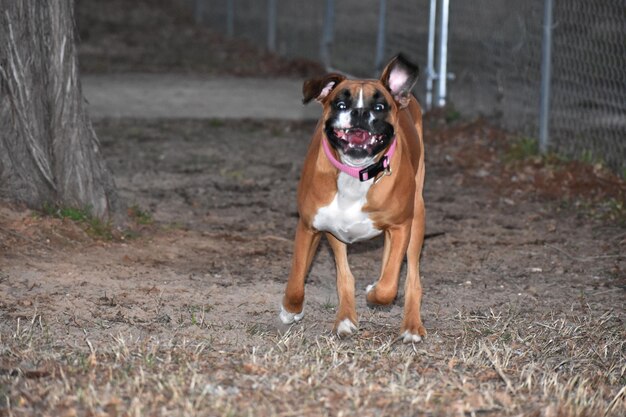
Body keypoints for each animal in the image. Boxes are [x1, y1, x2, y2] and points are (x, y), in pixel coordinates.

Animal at [280, 53, 426, 342]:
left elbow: (388, 286)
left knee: (411, 277)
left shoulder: (401, 226)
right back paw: (345, 319)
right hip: (336, 235)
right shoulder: (310, 226)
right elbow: (297, 277)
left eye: (379, 107)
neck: (355, 174)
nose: (359, 112)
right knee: (345, 275)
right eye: (341, 104)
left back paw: (412, 326)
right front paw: (291, 310)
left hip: (417, 217)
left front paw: (374, 293)